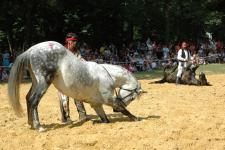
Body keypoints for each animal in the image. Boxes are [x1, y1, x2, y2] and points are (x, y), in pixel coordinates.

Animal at [7, 41, 144, 131]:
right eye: (132, 97)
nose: (114, 111)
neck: (107, 75)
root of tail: (31, 50)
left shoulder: (97, 104)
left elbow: (105, 120)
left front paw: (95, 121)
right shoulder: (109, 99)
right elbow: (123, 109)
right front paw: (136, 118)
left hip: (36, 82)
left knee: (28, 98)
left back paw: (30, 123)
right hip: (44, 82)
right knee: (33, 100)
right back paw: (38, 126)